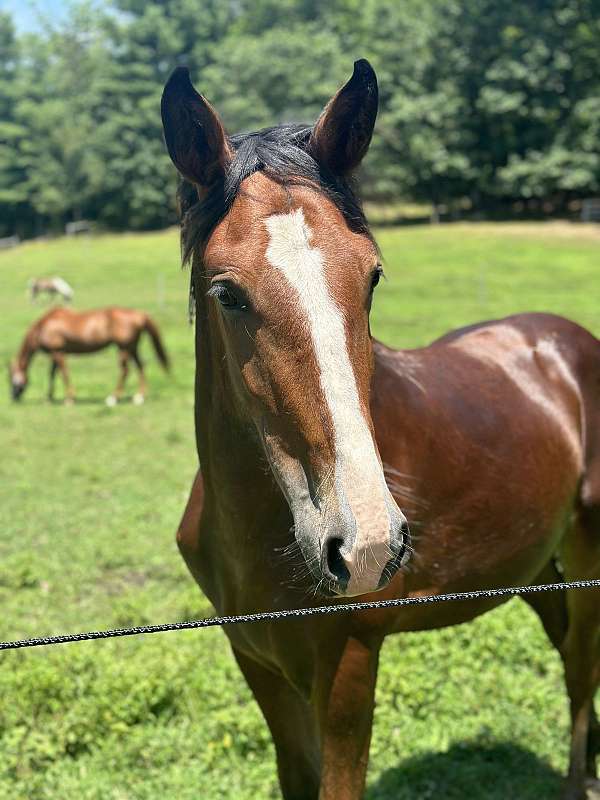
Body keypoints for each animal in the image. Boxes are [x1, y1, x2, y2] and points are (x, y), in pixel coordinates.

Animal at [8, 306, 169, 406]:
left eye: (11, 379)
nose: (13, 398)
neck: (44, 326)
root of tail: (139, 314)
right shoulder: (55, 355)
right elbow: (52, 375)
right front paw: (49, 398)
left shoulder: (58, 353)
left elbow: (64, 374)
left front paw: (69, 399)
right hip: (131, 348)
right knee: (140, 366)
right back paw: (139, 397)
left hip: (123, 348)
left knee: (125, 371)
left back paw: (113, 398)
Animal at [162, 62, 600, 800]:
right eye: (226, 294)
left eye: (371, 276)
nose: (363, 544)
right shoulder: (257, 663)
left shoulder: (347, 666)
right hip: (538, 565)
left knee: (579, 667)